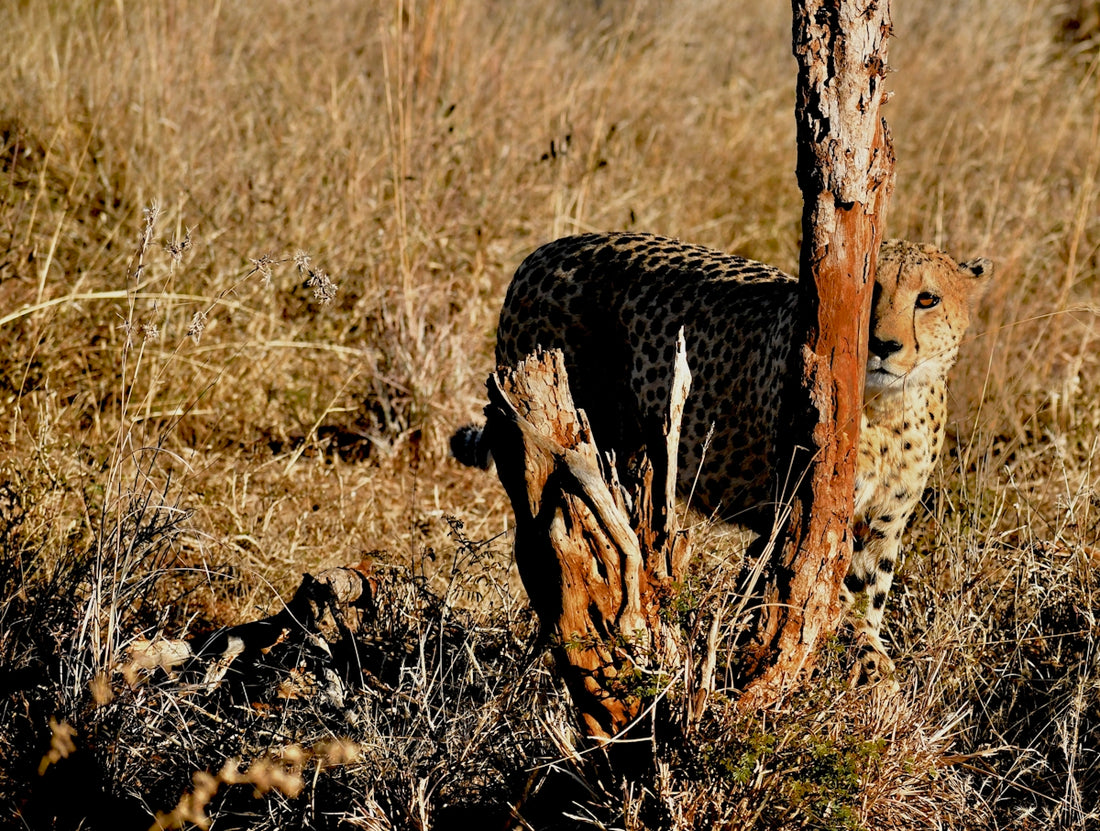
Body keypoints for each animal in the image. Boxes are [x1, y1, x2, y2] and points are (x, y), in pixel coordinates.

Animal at [454, 231, 992, 686]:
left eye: (927, 299)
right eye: (870, 292)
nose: (883, 345)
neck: (886, 410)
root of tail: (548, 249)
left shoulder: (880, 527)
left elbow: (865, 598)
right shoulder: (794, 519)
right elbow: (826, 594)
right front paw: (874, 666)